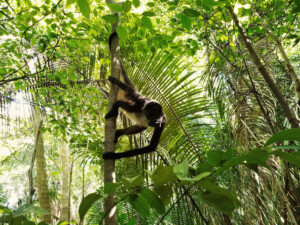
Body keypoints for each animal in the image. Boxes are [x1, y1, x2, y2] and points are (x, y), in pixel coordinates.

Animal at [102, 32, 165, 161]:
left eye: (151, 114)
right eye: (148, 112)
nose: (148, 117)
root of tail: (138, 92)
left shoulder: (164, 120)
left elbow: (151, 147)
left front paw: (114, 156)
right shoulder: (141, 105)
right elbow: (119, 103)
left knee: (142, 127)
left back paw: (118, 132)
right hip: (133, 95)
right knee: (127, 92)